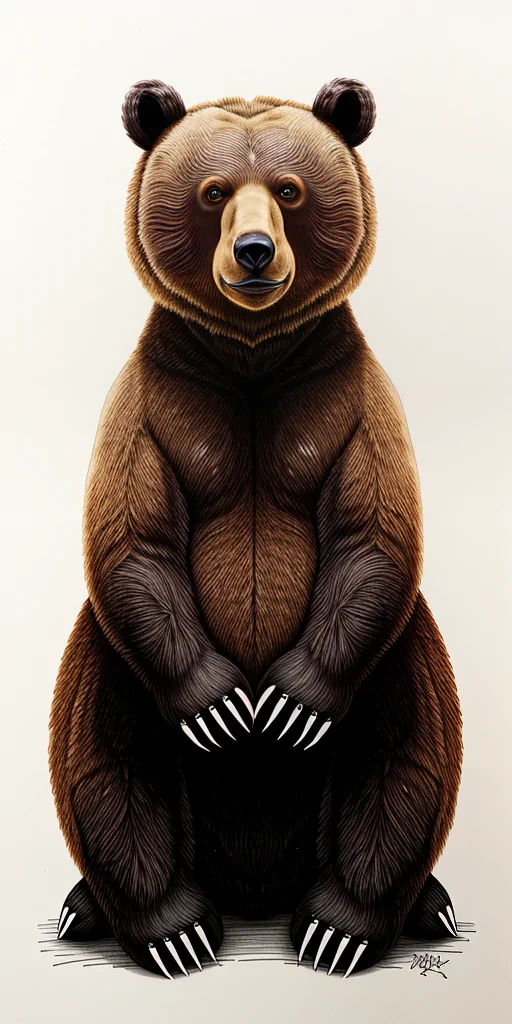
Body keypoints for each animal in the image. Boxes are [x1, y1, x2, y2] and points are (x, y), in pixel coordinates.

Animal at [49, 77, 463, 979]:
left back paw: (355, 922)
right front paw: (224, 710)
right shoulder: (152, 405)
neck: (250, 360)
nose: (253, 252)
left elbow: (374, 535)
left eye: (289, 189)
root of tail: (255, 886)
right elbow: (132, 542)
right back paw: (158, 924)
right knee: (102, 747)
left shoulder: (351, 400)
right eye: (212, 192)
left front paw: (286, 708)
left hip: (400, 659)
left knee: (407, 743)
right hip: (109, 664)